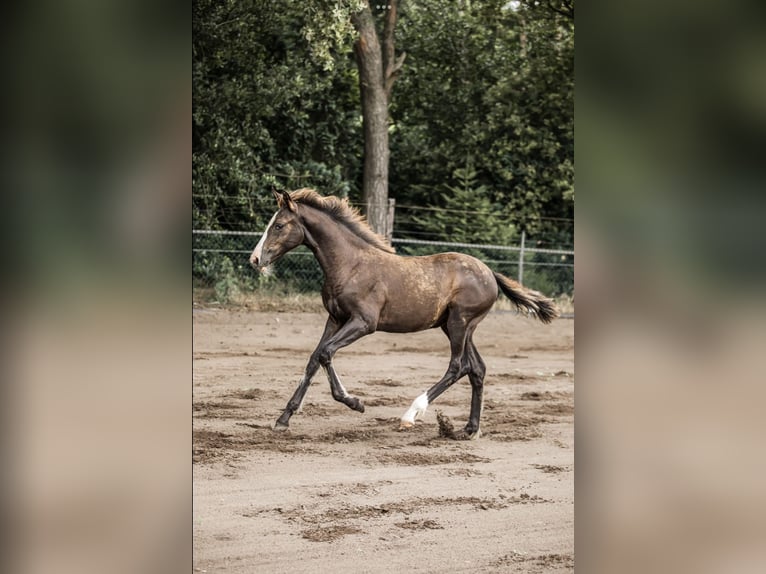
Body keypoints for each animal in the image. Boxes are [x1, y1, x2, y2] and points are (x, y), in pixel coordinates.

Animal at [250, 191, 560, 438]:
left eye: (278, 225)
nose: (255, 259)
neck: (350, 264)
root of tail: (491, 274)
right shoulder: (335, 318)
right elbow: (314, 359)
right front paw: (283, 418)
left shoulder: (363, 323)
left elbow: (326, 353)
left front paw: (355, 402)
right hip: (458, 326)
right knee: (477, 369)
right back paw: (468, 429)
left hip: (459, 323)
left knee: (458, 366)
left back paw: (411, 415)